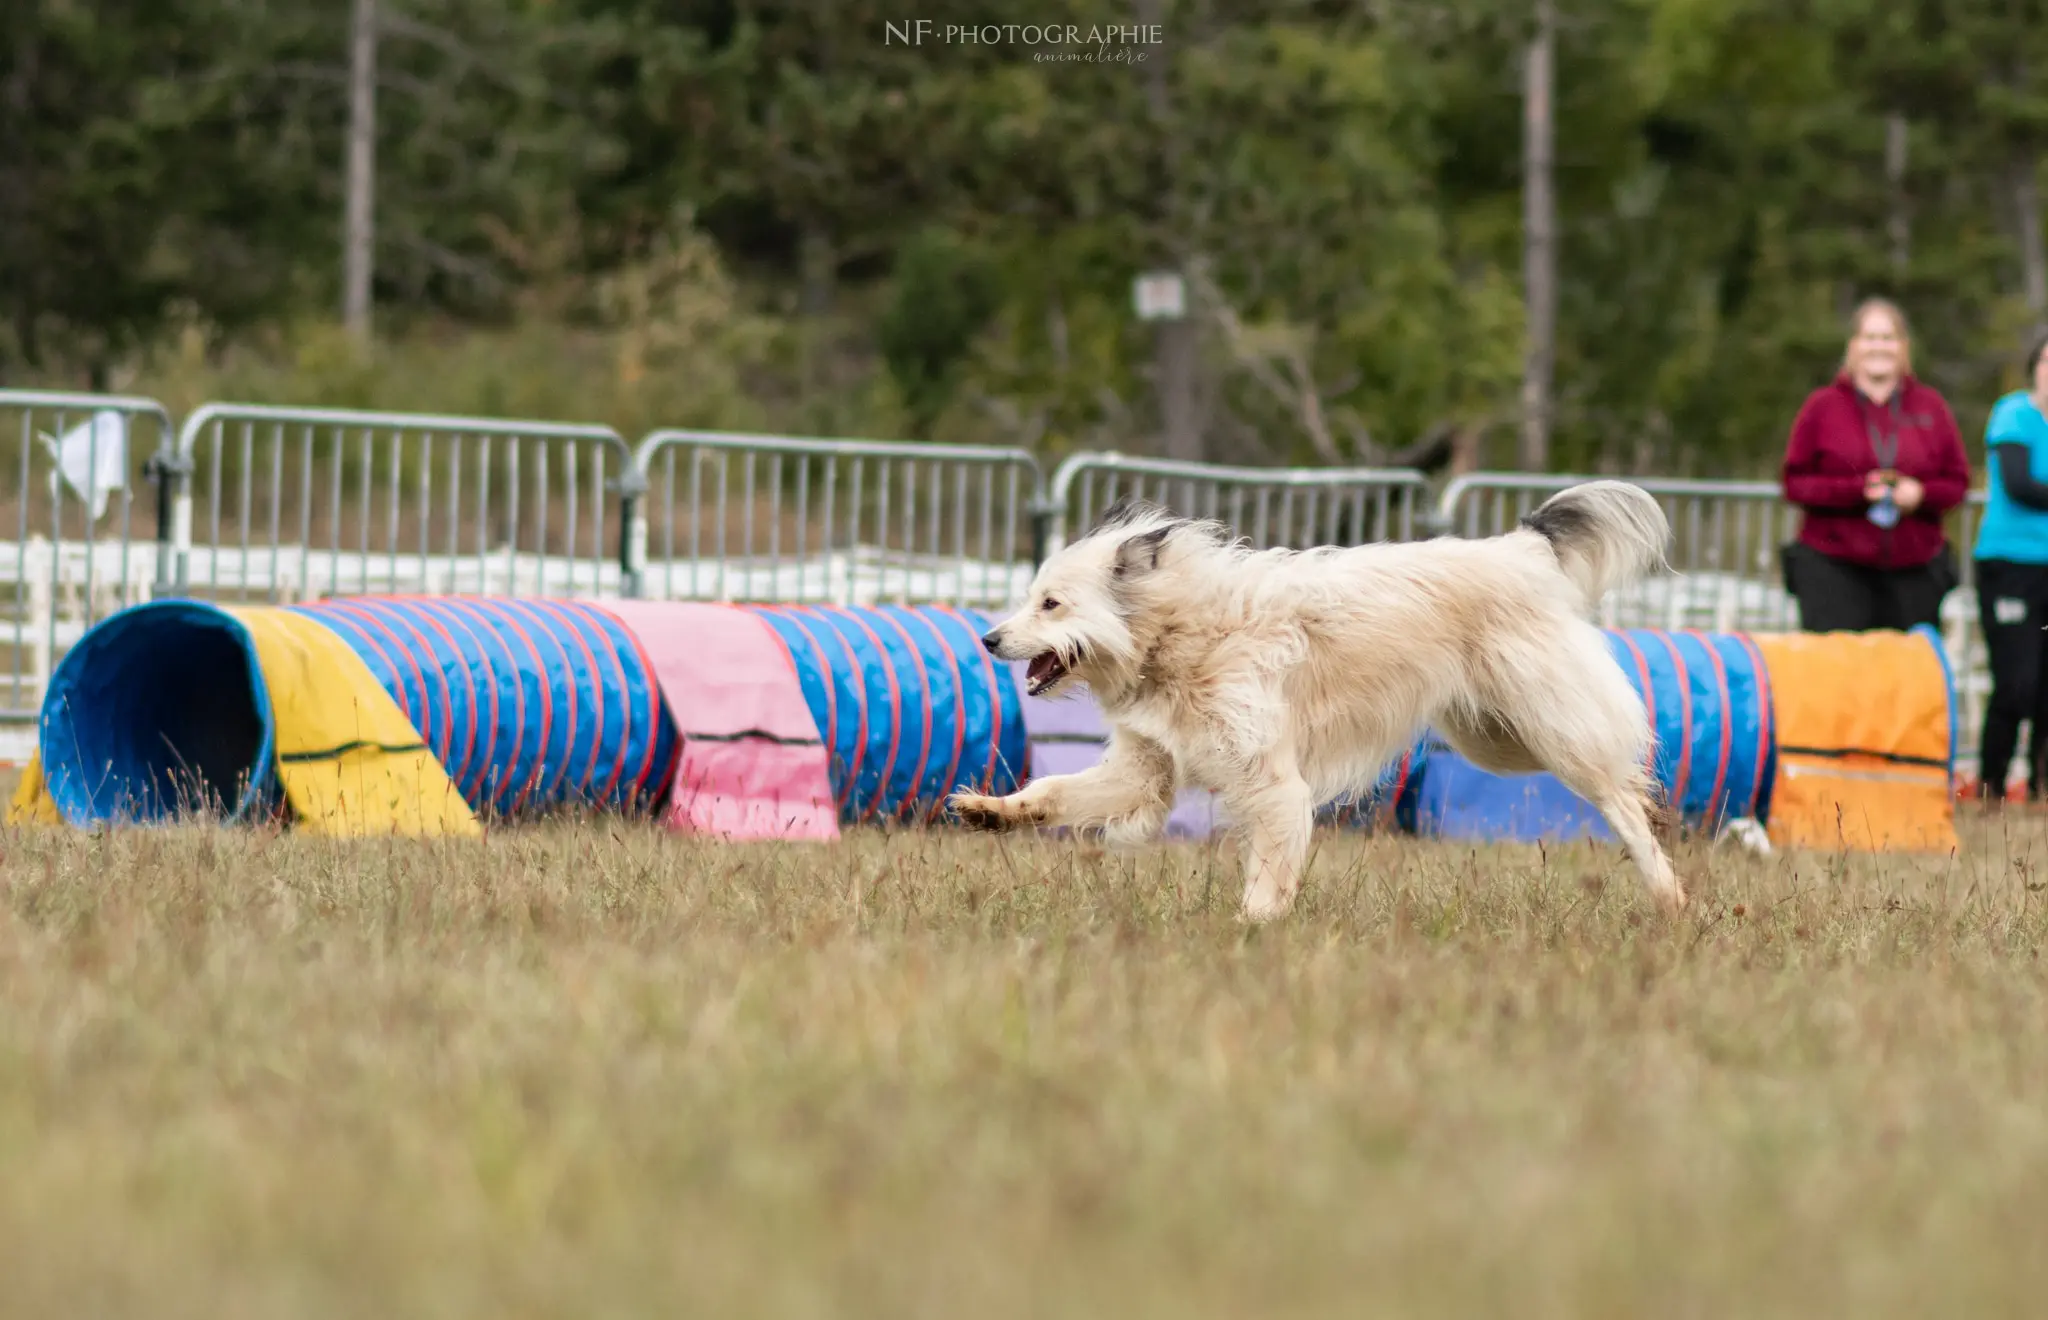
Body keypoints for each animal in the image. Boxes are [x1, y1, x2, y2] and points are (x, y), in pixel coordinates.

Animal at [950, 478, 1687, 920]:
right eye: (1030, 598)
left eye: (1051, 604)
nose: (987, 638)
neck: (1177, 630)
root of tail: (1521, 547)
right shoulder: (1144, 771)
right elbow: (1054, 793)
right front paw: (992, 811)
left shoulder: (1274, 783)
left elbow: (1270, 867)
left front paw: (1251, 928)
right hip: (1494, 738)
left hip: (1548, 729)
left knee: (1623, 797)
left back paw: (1669, 891)